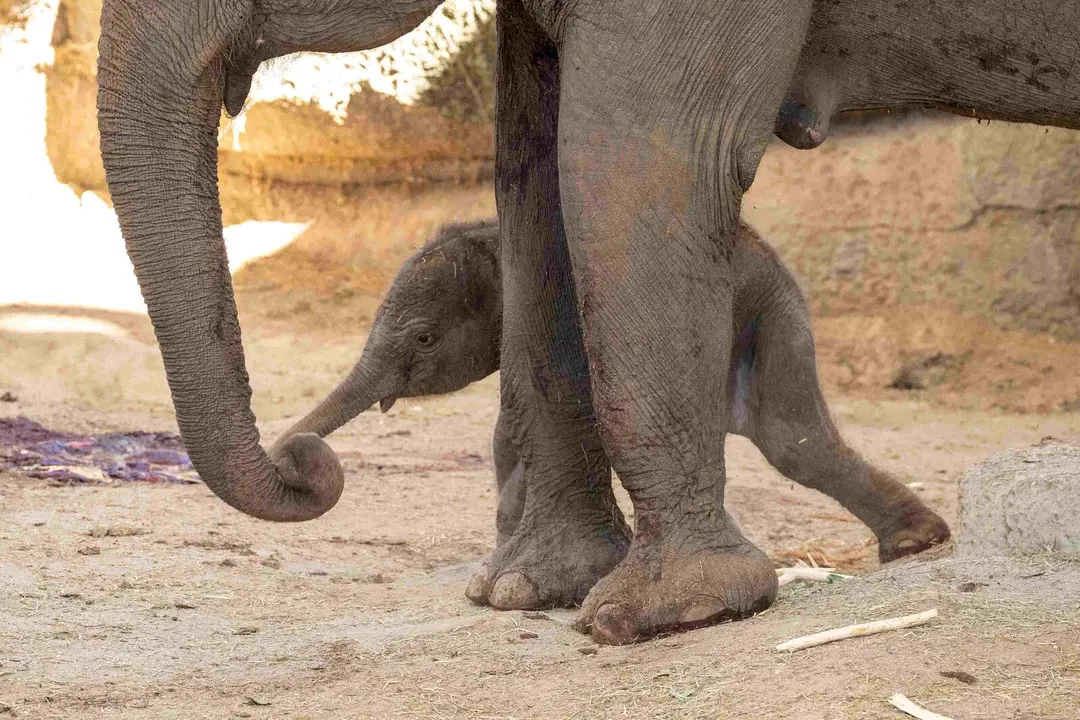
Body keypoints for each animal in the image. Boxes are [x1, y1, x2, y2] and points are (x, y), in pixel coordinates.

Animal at [272, 218, 950, 566]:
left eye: (425, 338)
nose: (298, 455)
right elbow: (509, 428)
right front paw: (510, 548)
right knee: (794, 441)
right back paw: (915, 542)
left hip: (769, 311)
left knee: (791, 441)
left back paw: (914, 544)